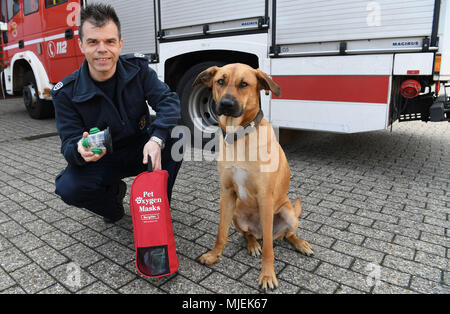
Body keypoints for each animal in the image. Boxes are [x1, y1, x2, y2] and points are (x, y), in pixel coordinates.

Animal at [193, 63, 312, 290]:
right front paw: (214, 255)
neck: (238, 135)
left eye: (244, 84)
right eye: (220, 81)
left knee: (285, 235)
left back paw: (300, 243)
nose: (226, 104)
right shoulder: (227, 193)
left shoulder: (265, 197)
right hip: (238, 214)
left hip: (288, 213)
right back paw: (253, 243)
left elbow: (269, 251)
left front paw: (267, 275)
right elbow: (221, 232)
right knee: (250, 234)